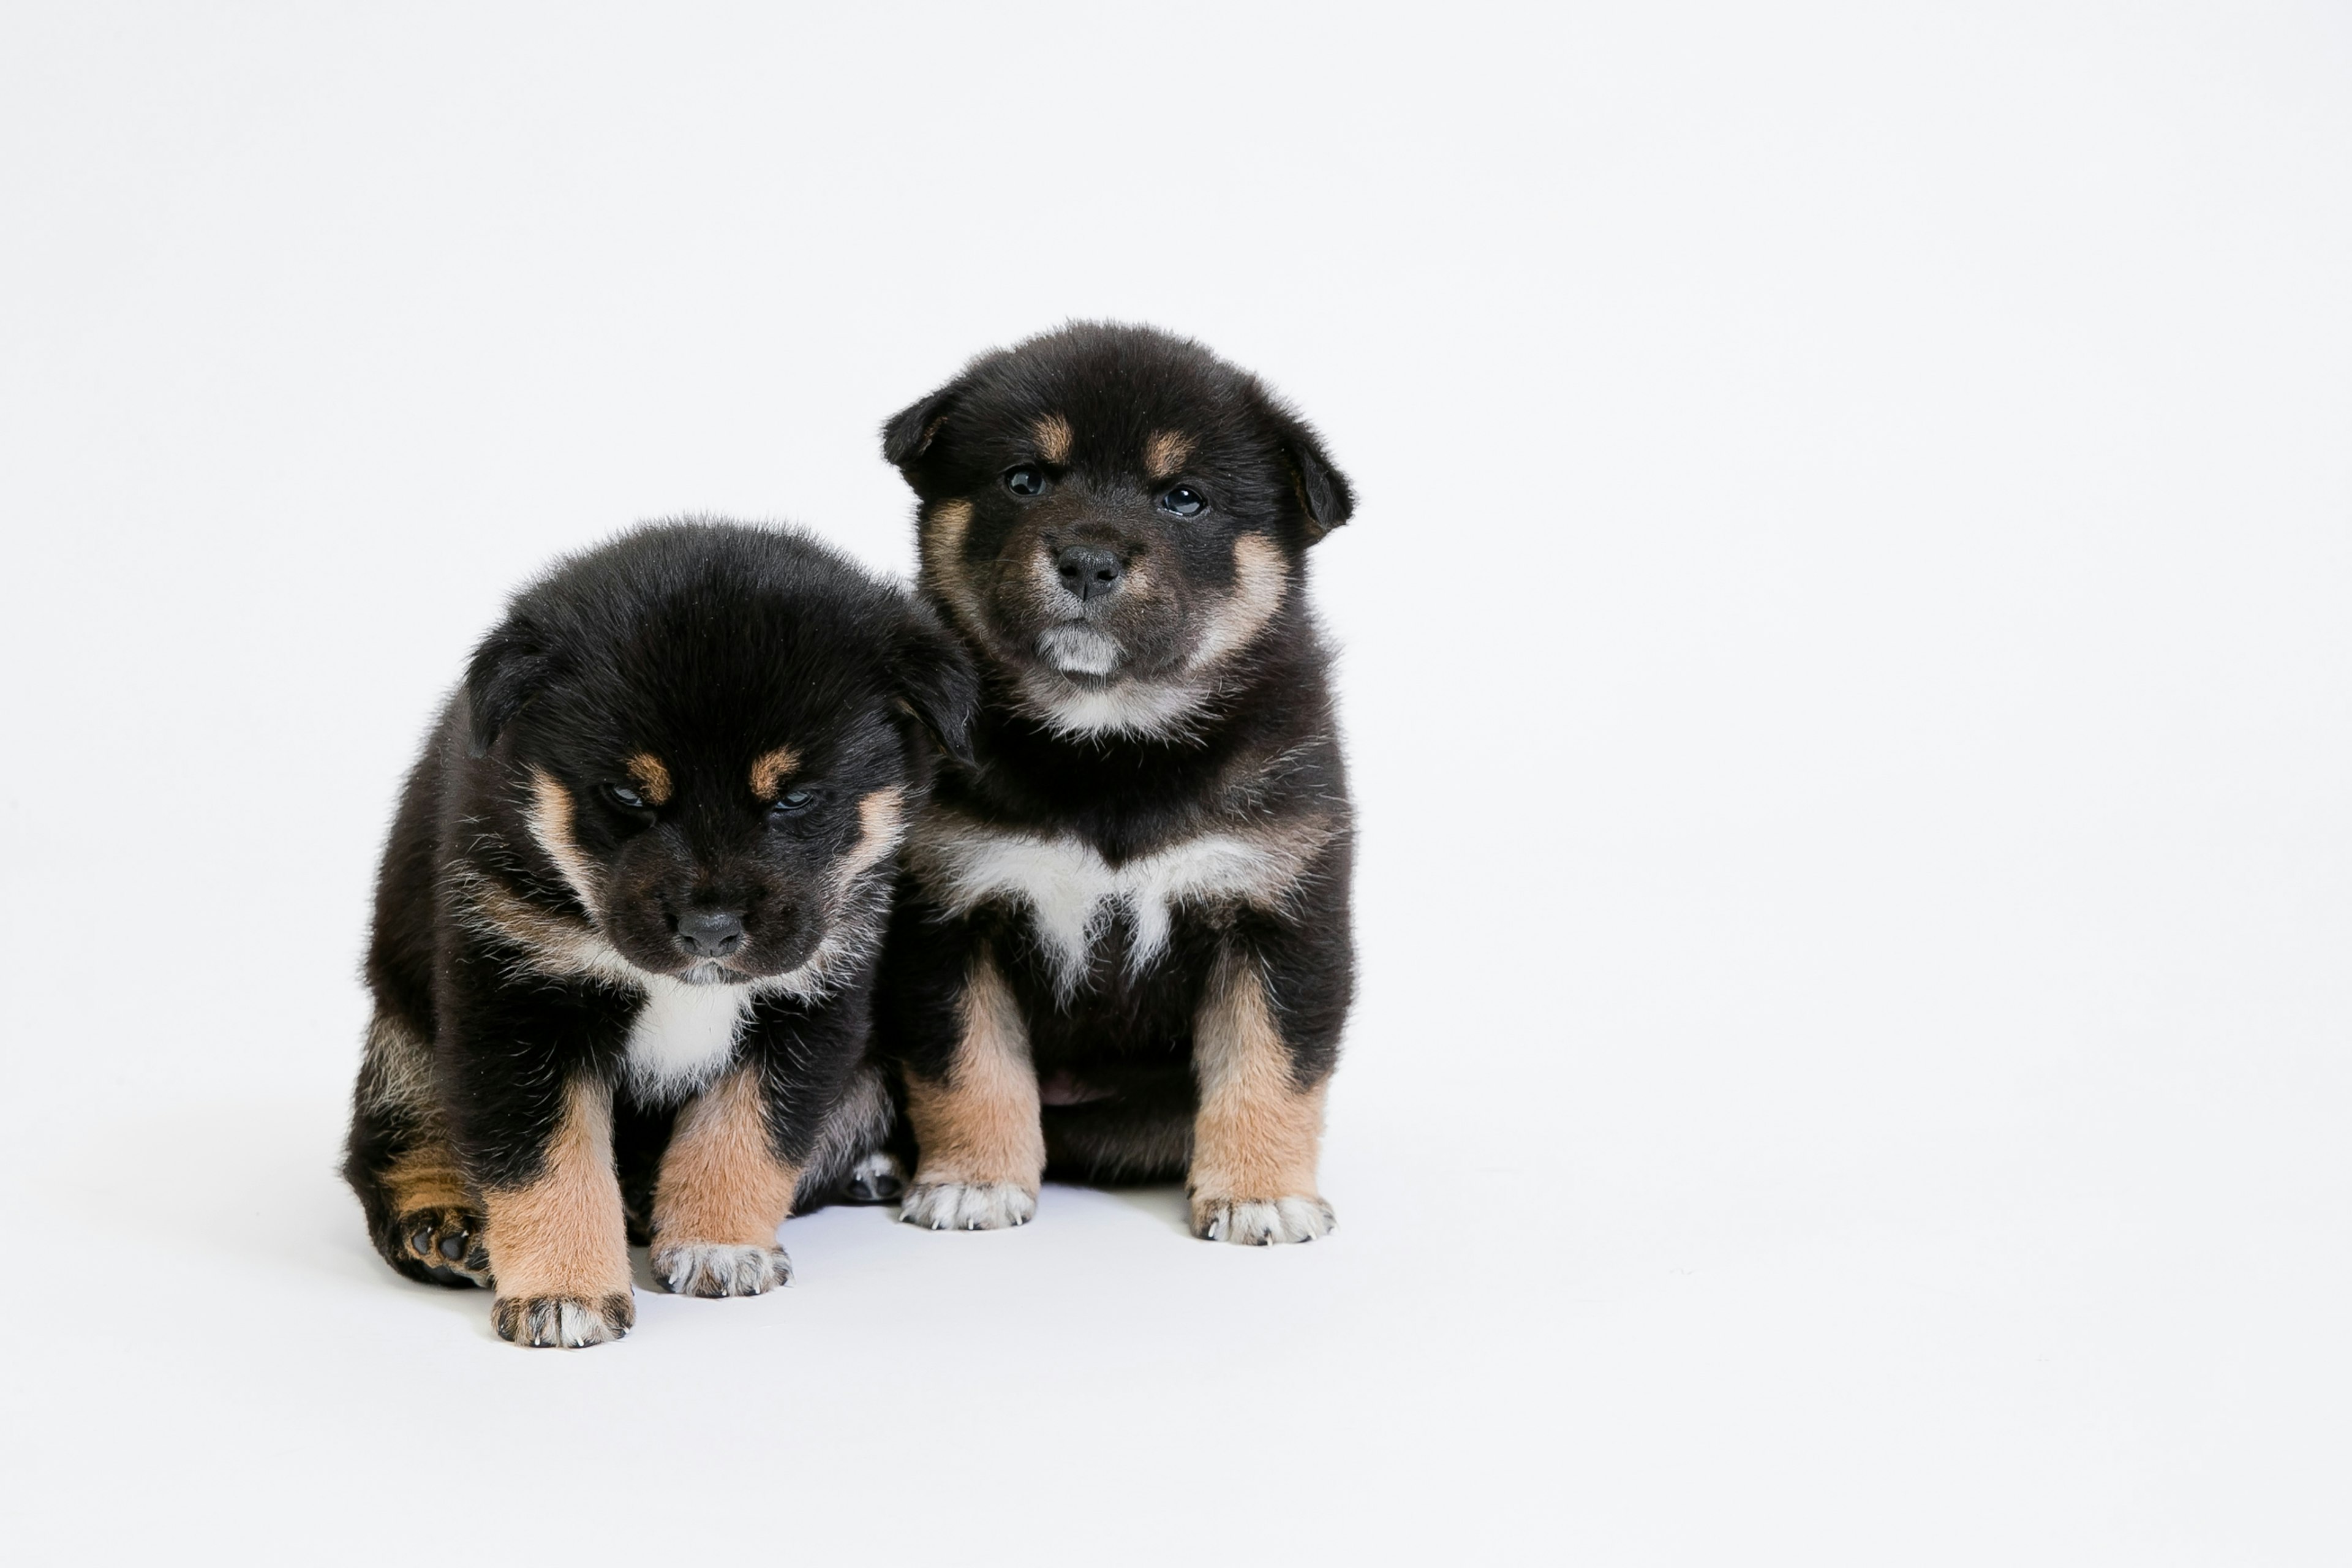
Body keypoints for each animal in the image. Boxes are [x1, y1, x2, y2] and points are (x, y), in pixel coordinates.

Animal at [341, 522, 973, 1344]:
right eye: (626, 793)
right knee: (394, 1137)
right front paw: (564, 1291)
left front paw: (718, 1244)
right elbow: (547, 1160)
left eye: (796, 797)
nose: (710, 930)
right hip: (402, 1031)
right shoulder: (519, 999)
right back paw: (444, 1222)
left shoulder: (809, 1002)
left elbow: (747, 1132)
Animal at [884, 322, 1364, 1250]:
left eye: (1183, 498)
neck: (1111, 748)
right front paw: (973, 1181)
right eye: (1024, 479)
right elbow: (970, 1064)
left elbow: (1269, 1066)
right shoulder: (951, 912)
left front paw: (1259, 1193)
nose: (1088, 561)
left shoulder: (1278, 912)